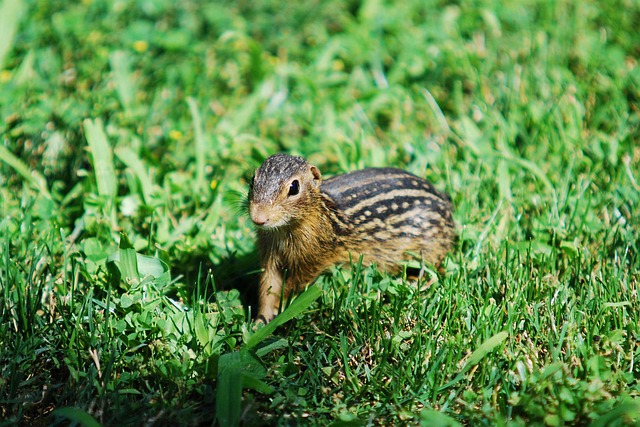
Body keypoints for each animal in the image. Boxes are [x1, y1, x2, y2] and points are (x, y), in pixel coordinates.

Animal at [248, 153, 456, 323]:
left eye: (294, 187)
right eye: (252, 179)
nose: (259, 217)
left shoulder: (313, 259)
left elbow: (293, 284)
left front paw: (280, 310)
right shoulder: (269, 254)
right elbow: (267, 286)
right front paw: (261, 320)